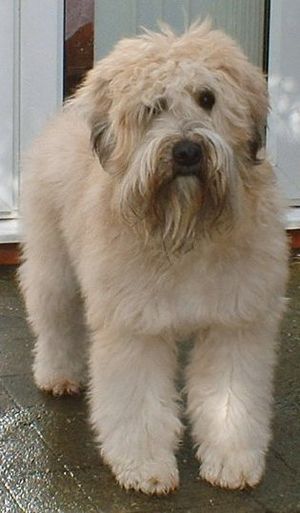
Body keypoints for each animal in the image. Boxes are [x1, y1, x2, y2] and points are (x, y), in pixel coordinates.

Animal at [18, 22, 288, 494]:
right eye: (153, 107)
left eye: (207, 98)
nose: (187, 152)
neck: (185, 229)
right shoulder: (134, 326)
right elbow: (137, 402)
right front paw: (145, 465)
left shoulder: (235, 322)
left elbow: (229, 400)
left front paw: (232, 460)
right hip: (54, 266)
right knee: (55, 320)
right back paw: (57, 374)